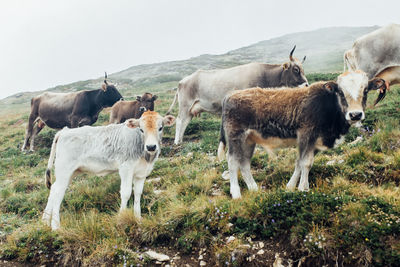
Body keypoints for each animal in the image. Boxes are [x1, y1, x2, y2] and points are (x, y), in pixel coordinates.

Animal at [167, 47, 308, 146]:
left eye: (303, 69)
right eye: (296, 69)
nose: (306, 84)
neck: (264, 75)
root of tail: (183, 81)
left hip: (190, 109)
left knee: (185, 122)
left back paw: (180, 140)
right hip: (185, 105)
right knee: (179, 121)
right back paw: (176, 142)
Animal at [219, 71, 388, 199]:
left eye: (365, 90)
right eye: (340, 92)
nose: (355, 115)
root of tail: (229, 96)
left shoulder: (313, 142)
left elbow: (302, 163)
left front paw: (292, 186)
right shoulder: (306, 135)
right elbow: (304, 163)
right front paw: (302, 189)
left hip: (249, 141)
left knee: (244, 162)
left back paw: (254, 188)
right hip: (235, 137)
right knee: (233, 161)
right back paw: (236, 193)